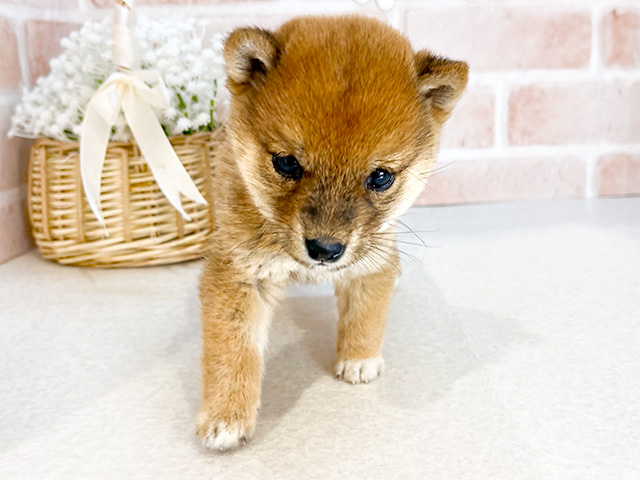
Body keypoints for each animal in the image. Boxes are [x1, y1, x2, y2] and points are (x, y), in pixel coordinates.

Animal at [198, 15, 468, 450]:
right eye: (286, 163)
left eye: (381, 177)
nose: (325, 250)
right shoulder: (238, 273)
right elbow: (232, 350)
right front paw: (226, 416)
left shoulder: (372, 260)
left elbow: (365, 314)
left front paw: (359, 359)